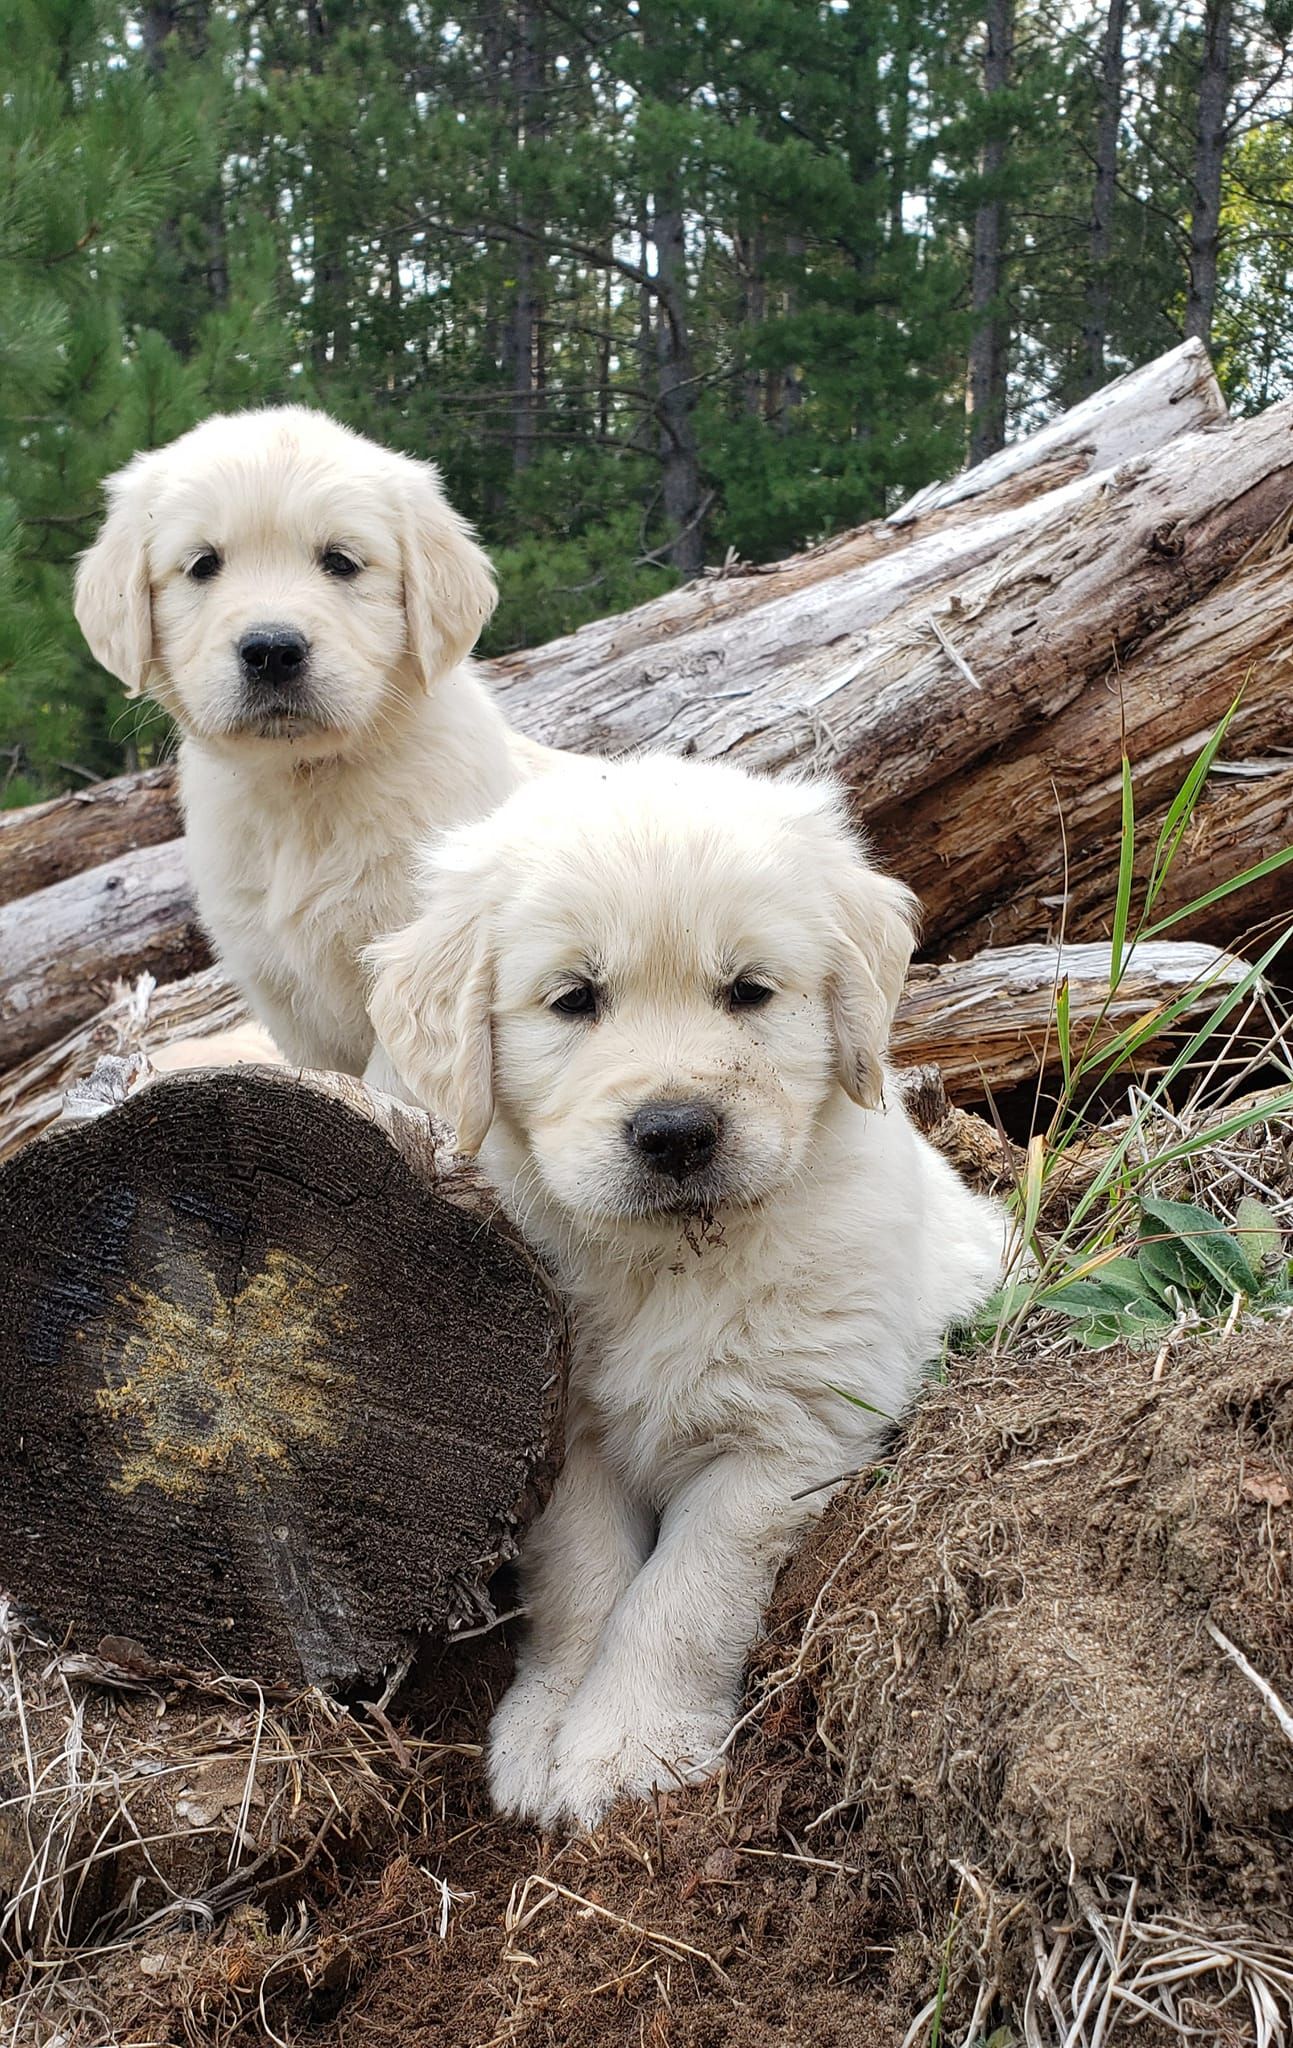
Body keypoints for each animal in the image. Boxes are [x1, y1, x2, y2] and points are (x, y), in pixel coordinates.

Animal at [368, 749, 1008, 1826]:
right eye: (574, 998)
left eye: (747, 990)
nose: (675, 1132)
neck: (673, 1262)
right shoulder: (564, 1438)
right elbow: (586, 1585)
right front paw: (546, 1727)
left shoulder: (786, 1438)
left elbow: (679, 1597)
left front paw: (629, 1747)